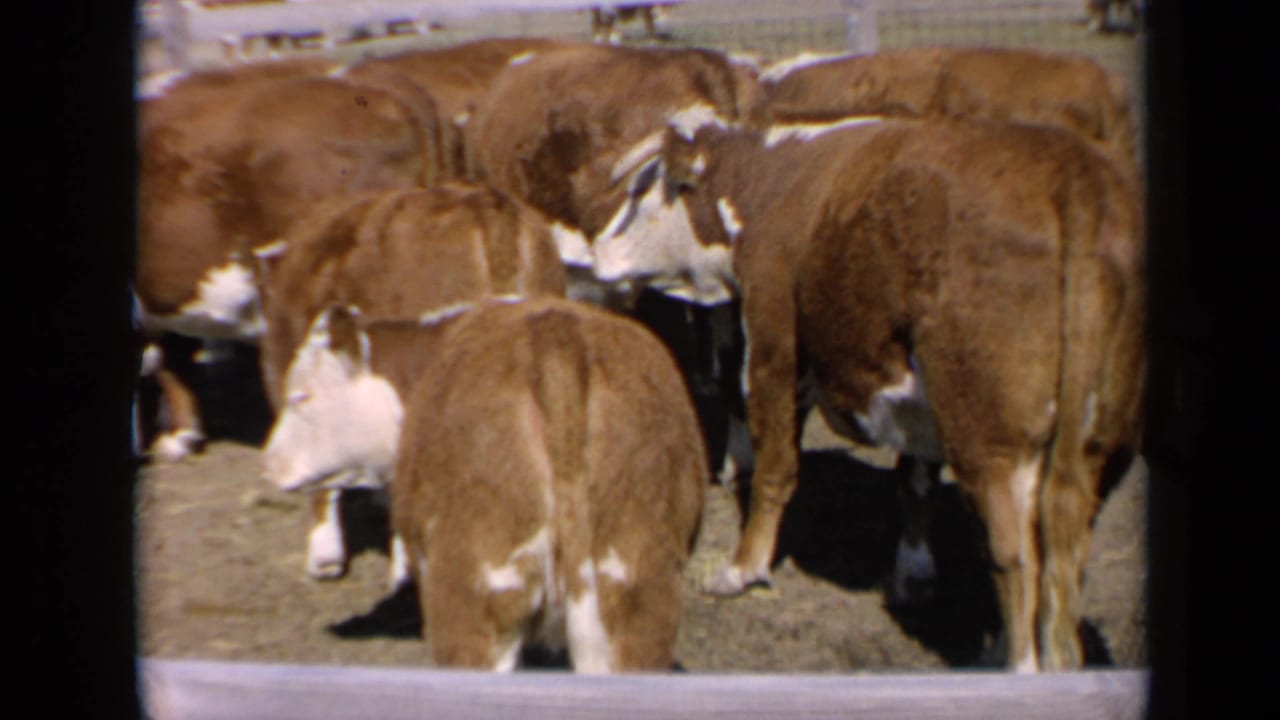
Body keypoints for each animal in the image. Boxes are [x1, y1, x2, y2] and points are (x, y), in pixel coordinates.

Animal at [589, 112, 1146, 672]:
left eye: (643, 191)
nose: (595, 255)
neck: (776, 183)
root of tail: (1072, 173)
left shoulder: (773, 343)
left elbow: (775, 467)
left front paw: (742, 568)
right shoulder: (915, 398)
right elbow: (915, 480)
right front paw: (913, 573)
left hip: (990, 446)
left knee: (1016, 557)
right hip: (1091, 449)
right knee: (1061, 561)